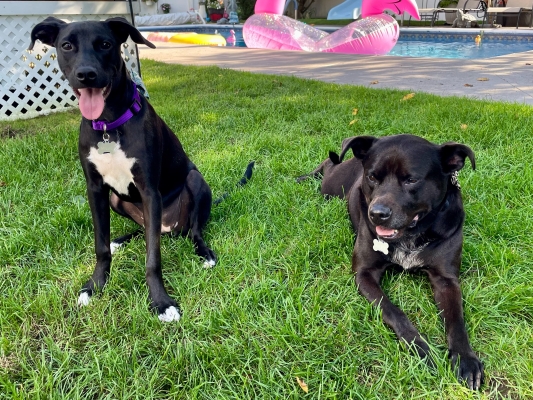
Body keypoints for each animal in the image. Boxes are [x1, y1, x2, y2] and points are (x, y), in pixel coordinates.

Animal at [29, 18, 251, 322]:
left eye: (105, 44)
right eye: (66, 45)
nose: (86, 75)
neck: (109, 125)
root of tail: (171, 228)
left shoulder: (149, 191)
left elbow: (152, 258)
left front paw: (161, 302)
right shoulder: (96, 190)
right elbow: (100, 246)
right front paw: (95, 286)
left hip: (195, 181)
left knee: (192, 231)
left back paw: (204, 253)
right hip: (116, 200)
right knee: (144, 228)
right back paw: (120, 240)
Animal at [300, 135, 482, 390]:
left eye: (411, 180)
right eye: (372, 177)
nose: (377, 214)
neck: (411, 235)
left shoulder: (446, 279)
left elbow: (456, 320)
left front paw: (466, 358)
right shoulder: (364, 274)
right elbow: (393, 311)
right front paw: (419, 347)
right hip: (331, 186)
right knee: (329, 163)